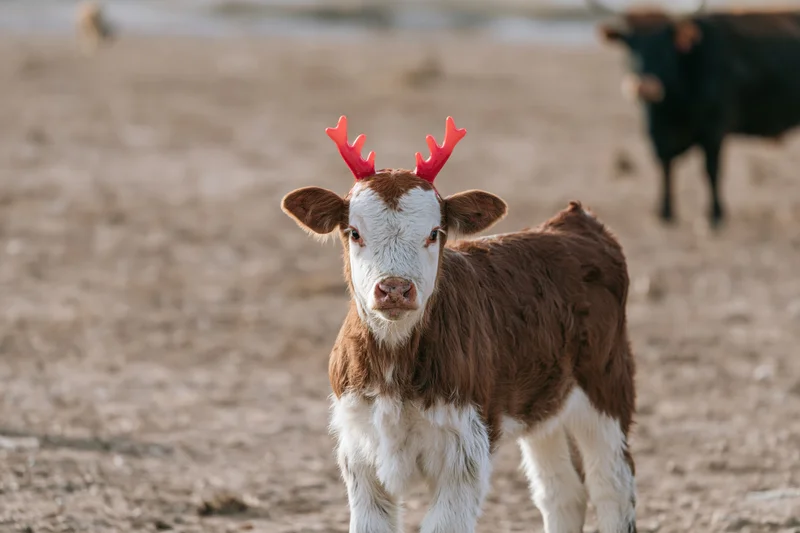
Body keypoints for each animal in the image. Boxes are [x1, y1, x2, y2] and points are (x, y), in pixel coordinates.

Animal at [281, 116, 638, 533]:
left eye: (434, 233)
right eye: (354, 232)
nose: (395, 289)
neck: (395, 365)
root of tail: (574, 221)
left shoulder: (464, 451)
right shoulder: (359, 448)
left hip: (605, 385)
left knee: (611, 486)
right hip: (543, 401)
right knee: (561, 491)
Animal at [590, 0, 800, 227]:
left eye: (665, 47)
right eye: (631, 47)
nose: (644, 87)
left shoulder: (714, 131)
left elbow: (711, 170)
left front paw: (715, 214)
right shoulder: (659, 134)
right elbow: (665, 167)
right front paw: (666, 211)